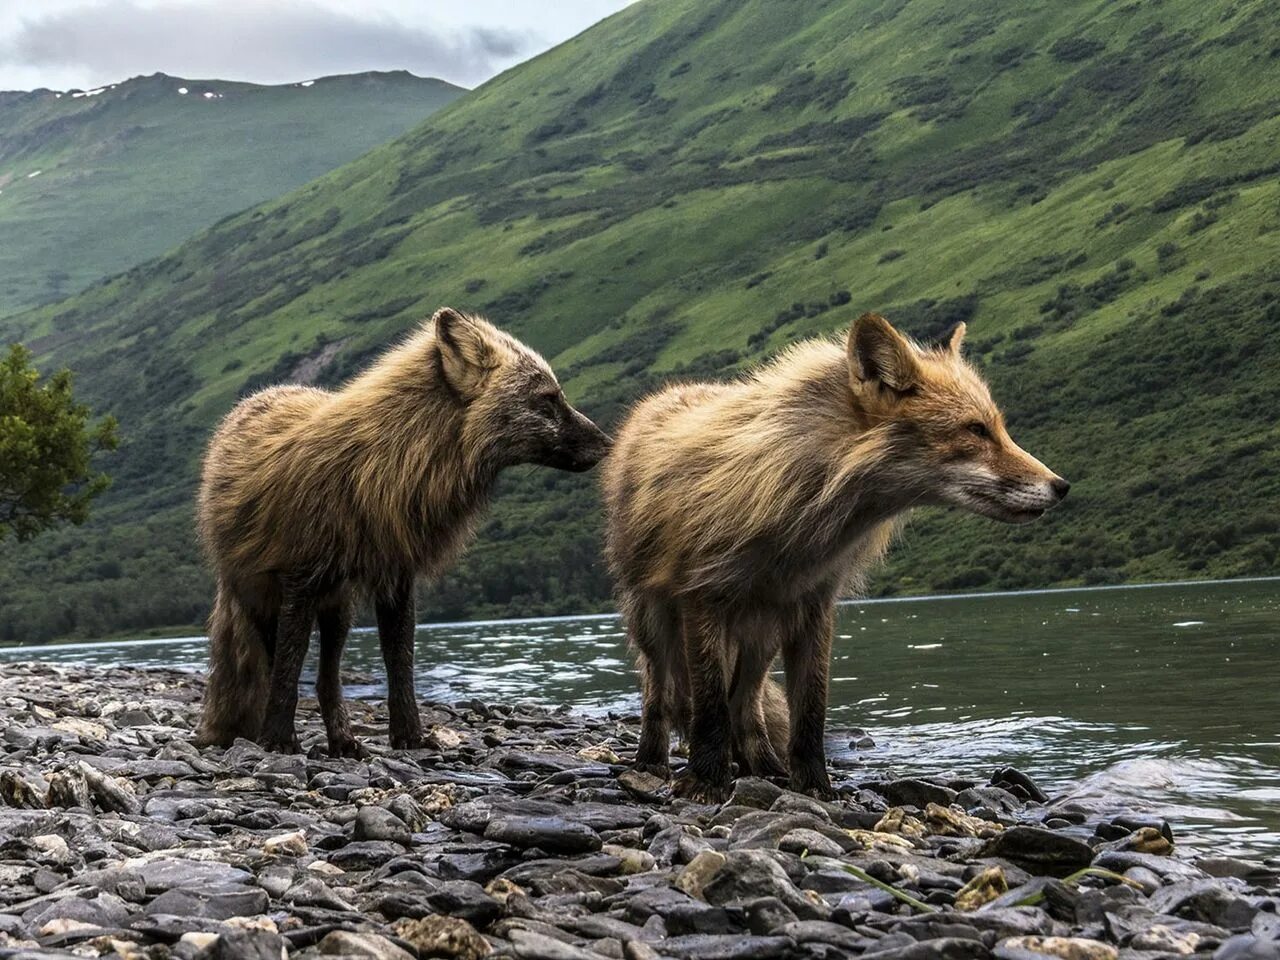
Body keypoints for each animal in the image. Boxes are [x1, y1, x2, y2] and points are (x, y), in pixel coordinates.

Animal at [194, 308, 609, 757]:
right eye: (548, 399)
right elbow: (286, 670)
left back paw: (343, 740)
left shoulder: (396, 577)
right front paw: (278, 740)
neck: (386, 468)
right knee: (282, 666)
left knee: (327, 678)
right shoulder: (300, 581)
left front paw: (410, 736)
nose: (608, 444)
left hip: (338, 606)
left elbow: (400, 663)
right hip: (268, 599)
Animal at [604, 312, 1064, 798]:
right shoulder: (703, 596)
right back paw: (650, 762)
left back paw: (762, 765)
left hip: (760, 632)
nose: (1061, 486)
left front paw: (814, 787)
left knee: (746, 703)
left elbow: (810, 711)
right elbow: (709, 709)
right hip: (655, 622)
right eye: (975, 430)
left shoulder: (813, 605)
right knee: (661, 695)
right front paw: (707, 780)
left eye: (997, 427)